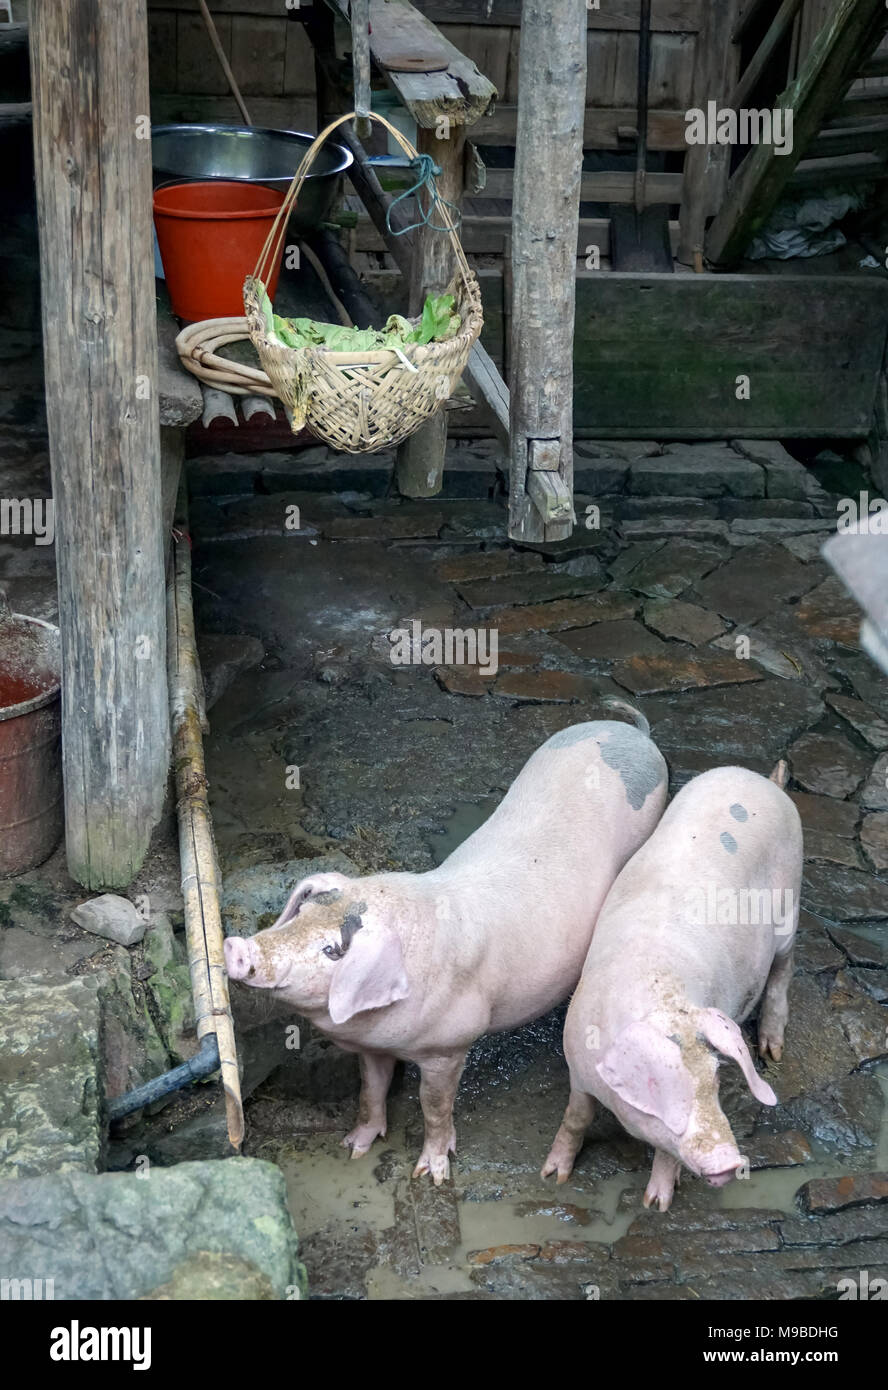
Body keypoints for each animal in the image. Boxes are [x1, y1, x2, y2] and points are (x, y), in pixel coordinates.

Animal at [223, 706, 667, 1184]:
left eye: (331, 950)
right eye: (300, 914)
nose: (236, 947)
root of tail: (636, 734)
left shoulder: (448, 1046)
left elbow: (434, 1108)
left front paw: (431, 1174)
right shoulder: (374, 1048)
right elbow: (369, 1092)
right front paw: (353, 1149)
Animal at [544, 767, 800, 1212]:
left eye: (715, 1082)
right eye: (667, 1091)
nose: (730, 1161)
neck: (662, 995)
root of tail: (765, 781)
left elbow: (666, 1153)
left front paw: (655, 1205)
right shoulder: (576, 1065)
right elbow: (576, 1117)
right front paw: (552, 1176)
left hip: (792, 908)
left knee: (783, 968)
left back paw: (773, 1052)